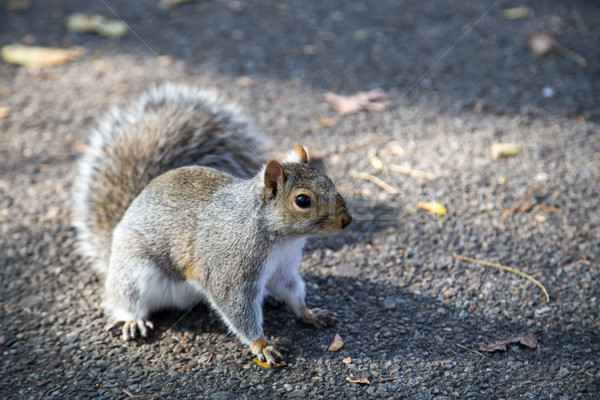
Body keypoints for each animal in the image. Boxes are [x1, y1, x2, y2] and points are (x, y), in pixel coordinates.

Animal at [71, 83, 352, 366]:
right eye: (302, 200)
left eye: (328, 180)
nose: (346, 221)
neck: (281, 239)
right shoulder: (231, 270)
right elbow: (238, 309)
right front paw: (261, 345)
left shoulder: (282, 267)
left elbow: (292, 290)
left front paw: (309, 313)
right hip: (133, 271)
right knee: (125, 297)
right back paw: (132, 320)